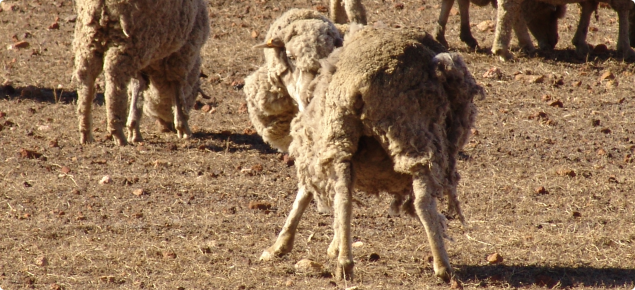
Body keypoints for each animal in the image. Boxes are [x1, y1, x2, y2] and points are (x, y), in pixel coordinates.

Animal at [73, 0, 210, 145]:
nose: (168, 127)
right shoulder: (182, 53)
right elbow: (177, 89)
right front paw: (183, 127)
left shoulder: (142, 65)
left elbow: (137, 90)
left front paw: (134, 130)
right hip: (130, 41)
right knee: (113, 86)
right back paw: (118, 134)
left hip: (88, 36)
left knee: (85, 80)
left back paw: (86, 133)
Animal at [251, 9, 484, 284]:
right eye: (290, 56)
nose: (306, 95)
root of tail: (373, 78)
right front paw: (329, 243)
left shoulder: (318, 138)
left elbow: (305, 192)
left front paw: (281, 246)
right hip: (413, 133)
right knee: (422, 199)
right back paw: (442, 266)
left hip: (340, 130)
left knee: (343, 196)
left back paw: (344, 264)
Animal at [492, 0, 635, 60]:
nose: (552, 42)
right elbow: (623, 8)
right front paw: (625, 48)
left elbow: (588, 7)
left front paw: (580, 43)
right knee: (509, 7)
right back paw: (502, 50)